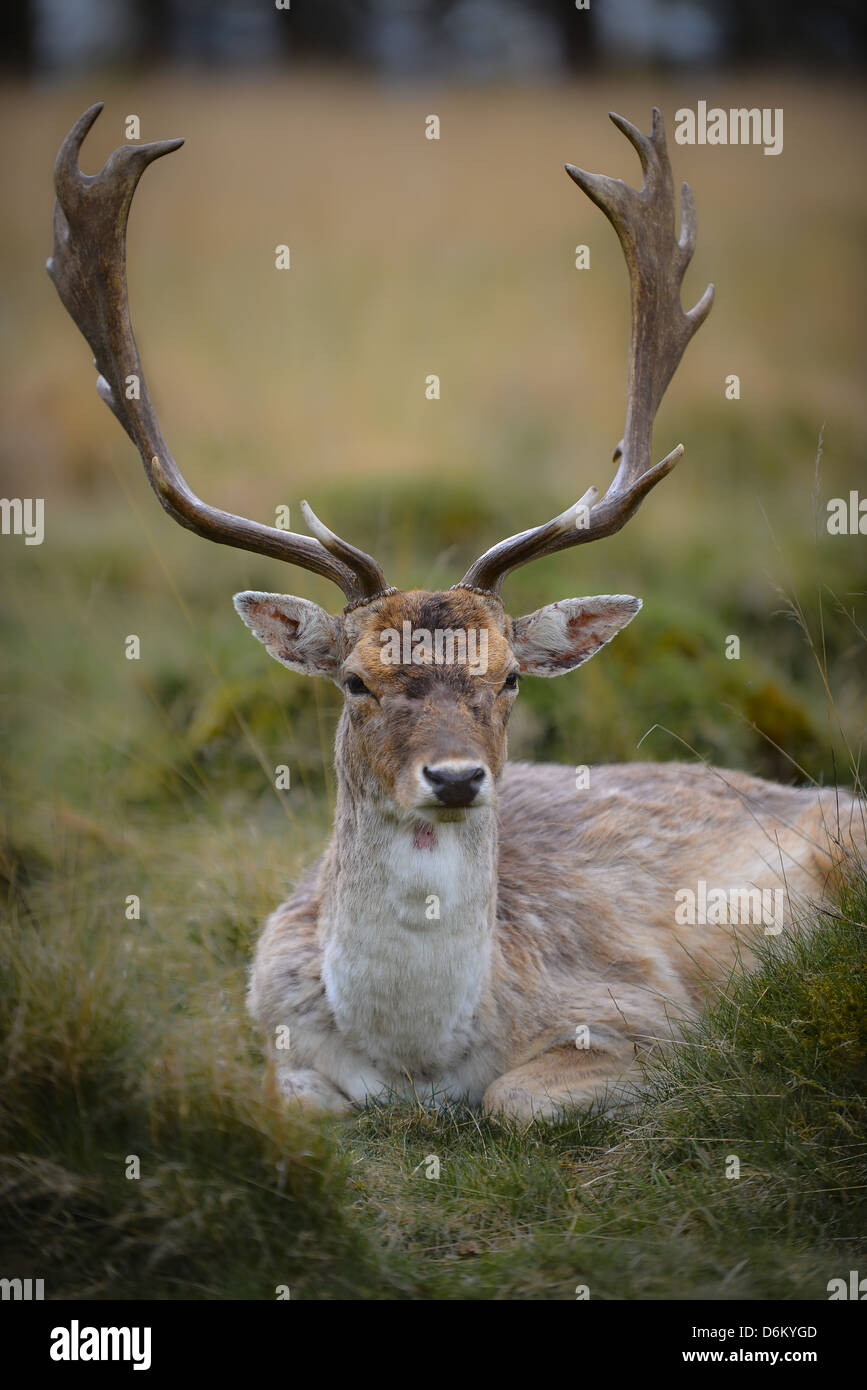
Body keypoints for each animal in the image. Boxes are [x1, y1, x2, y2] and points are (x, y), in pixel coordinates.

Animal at [50, 102, 861, 1123]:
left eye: (508, 676)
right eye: (355, 681)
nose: (454, 777)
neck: (417, 1059)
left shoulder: (641, 1011)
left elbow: (516, 1098)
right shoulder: (275, 1031)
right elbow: (304, 1100)